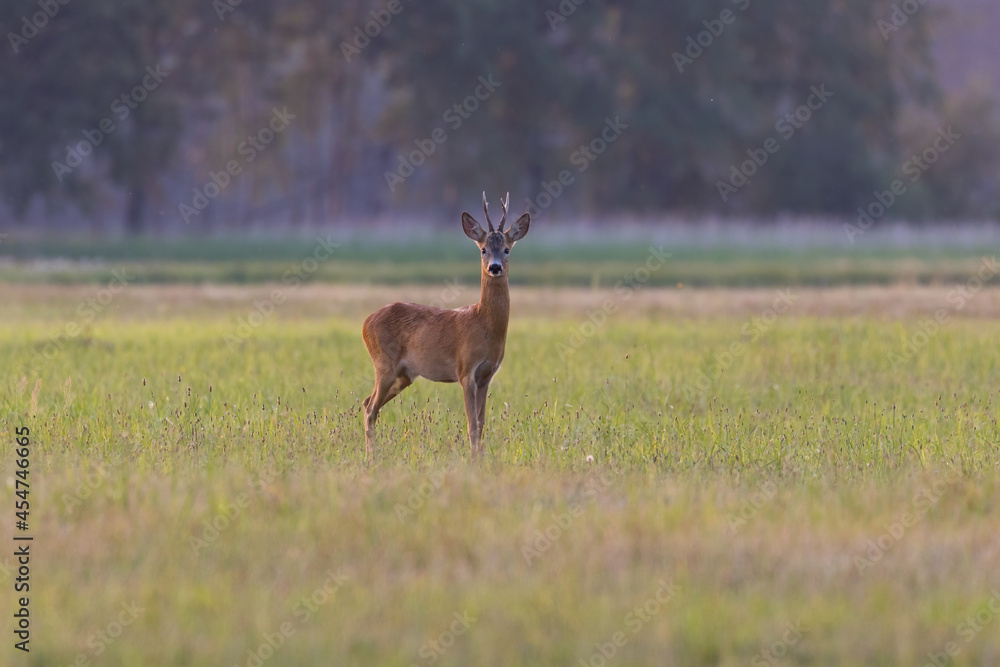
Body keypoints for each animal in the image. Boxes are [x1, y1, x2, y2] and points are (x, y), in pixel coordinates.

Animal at [361, 192, 530, 459]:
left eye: (506, 249)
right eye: (483, 249)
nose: (494, 267)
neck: (484, 325)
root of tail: (365, 323)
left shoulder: (486, 376)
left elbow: (481, 423)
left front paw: (480, 459)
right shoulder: (465, 370)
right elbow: (472, 425)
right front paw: (474, 461)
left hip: (404, 375)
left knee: (367, 403)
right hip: (384, 364)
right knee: (370, 409)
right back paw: (372, 458)